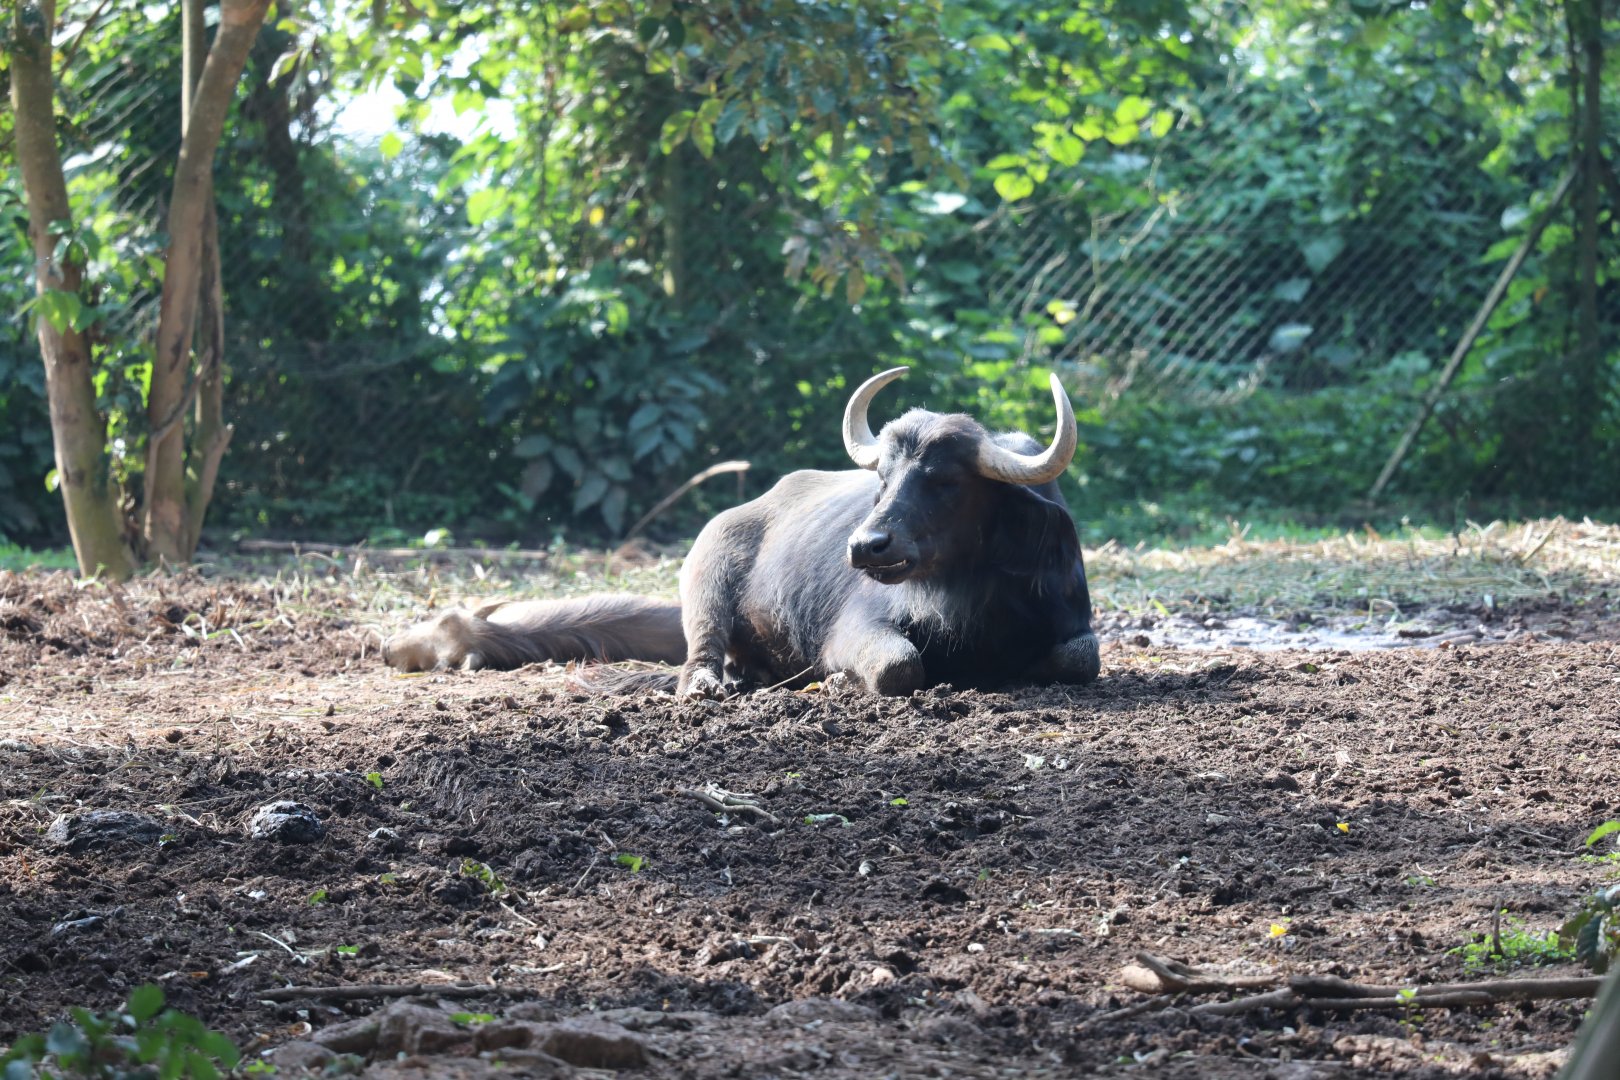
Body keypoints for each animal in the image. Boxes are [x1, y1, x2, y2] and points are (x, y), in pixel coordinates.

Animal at [384, 367, 1100, 696]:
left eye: (946, 479)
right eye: (883, 476)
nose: (866, 547)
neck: (969, 595)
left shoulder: (1072, 623)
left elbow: (1078, 658)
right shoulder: (858, 629)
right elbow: (899, 666)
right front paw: (837, 679)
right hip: (704, 582)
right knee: (698, 655)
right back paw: (712, 684)